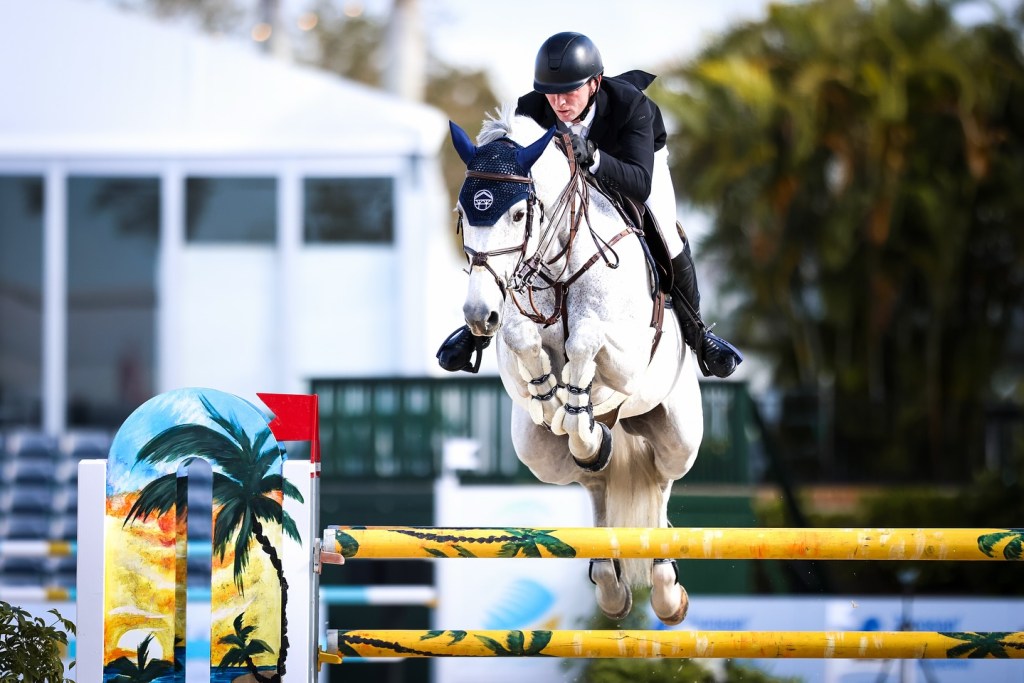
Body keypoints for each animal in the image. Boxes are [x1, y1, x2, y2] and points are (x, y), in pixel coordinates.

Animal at [449, 106, 704, 625]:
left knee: (661, 481)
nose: (478, 315)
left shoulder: (627, 361)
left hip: (679, 434)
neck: (557, 266)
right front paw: (551, 398)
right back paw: (609, 577)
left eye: (519, 213)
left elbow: (585, 340)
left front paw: (571, 398)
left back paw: (666, 588)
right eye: (464, 216)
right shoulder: (514, 338)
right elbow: (522, 339)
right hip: (539, 454)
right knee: (594, 479)